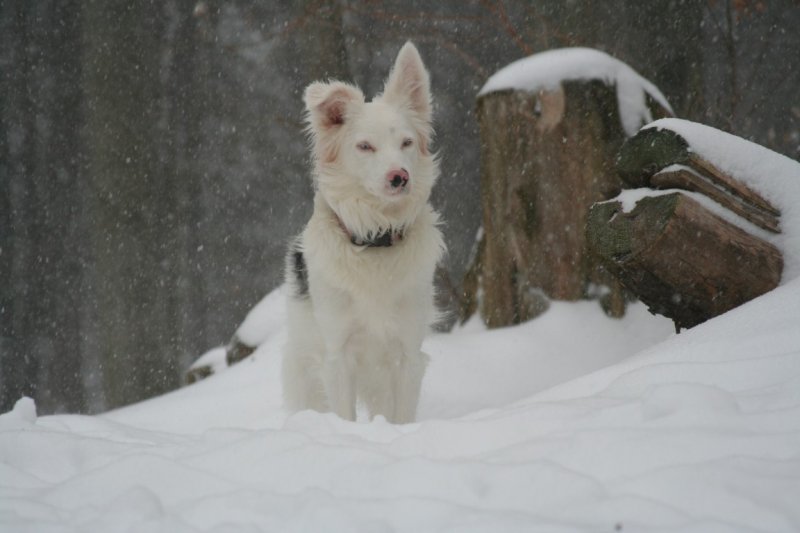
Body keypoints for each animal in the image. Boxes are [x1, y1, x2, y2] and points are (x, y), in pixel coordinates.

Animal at [281, 42, 444, 423]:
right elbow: (343, 414)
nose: (399, 177)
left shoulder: (408, 353)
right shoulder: (337, 355)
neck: (375, 238)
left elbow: (402, 416)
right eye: (365, 146)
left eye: (407, 143)